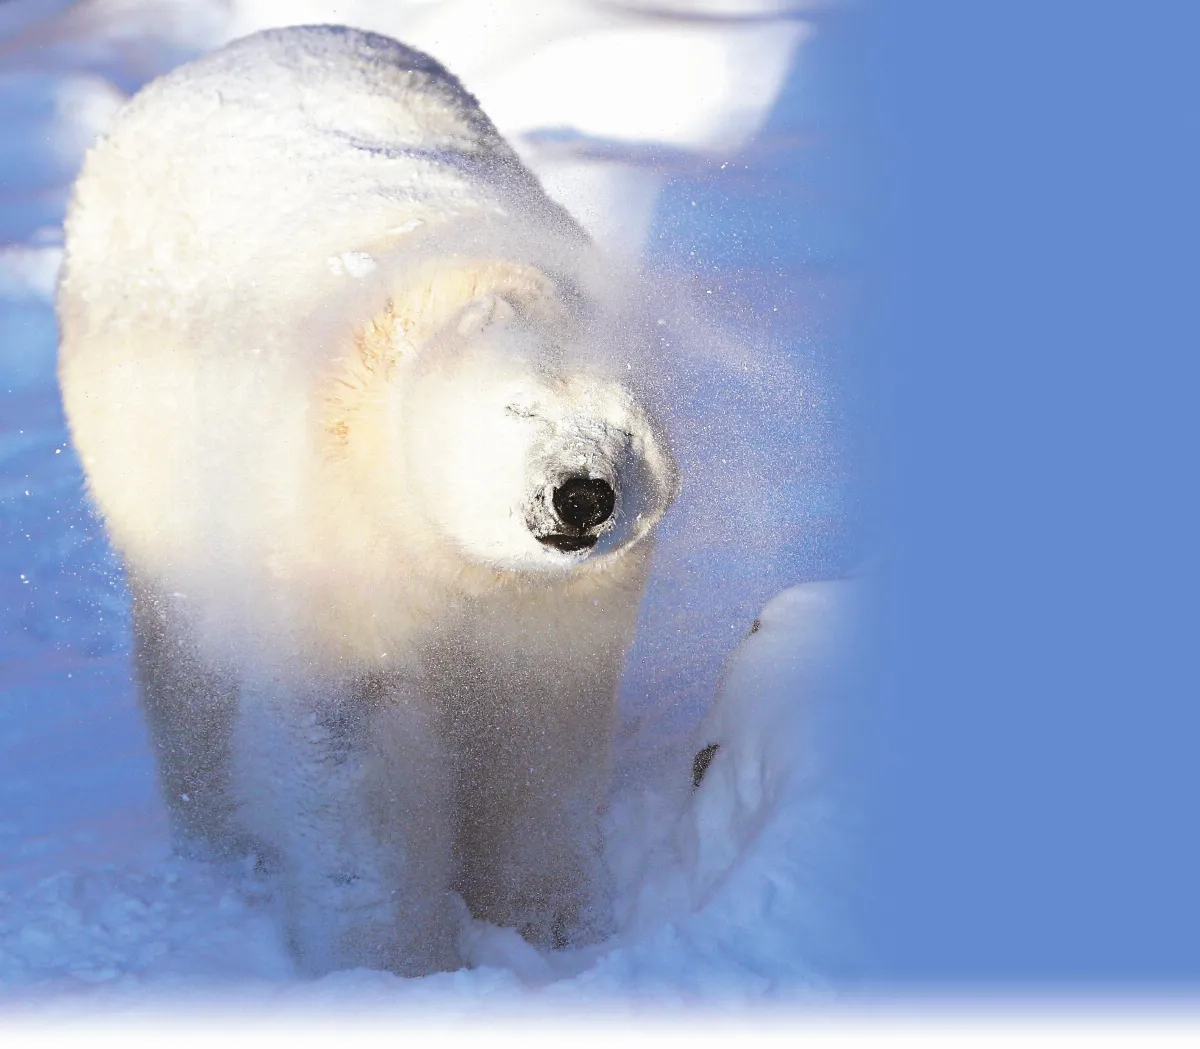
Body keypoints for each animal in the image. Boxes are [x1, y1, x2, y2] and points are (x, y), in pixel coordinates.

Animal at [56, 25, 678, 976]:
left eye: (625, 430)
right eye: (520, 408)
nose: (580, 496)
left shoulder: (556, 603)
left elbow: (537, 729)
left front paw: (553, 927)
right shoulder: (329, 533)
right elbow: (354, 747)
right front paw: (390, 962)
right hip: (146, 462)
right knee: (189, 662)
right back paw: (223, 837)